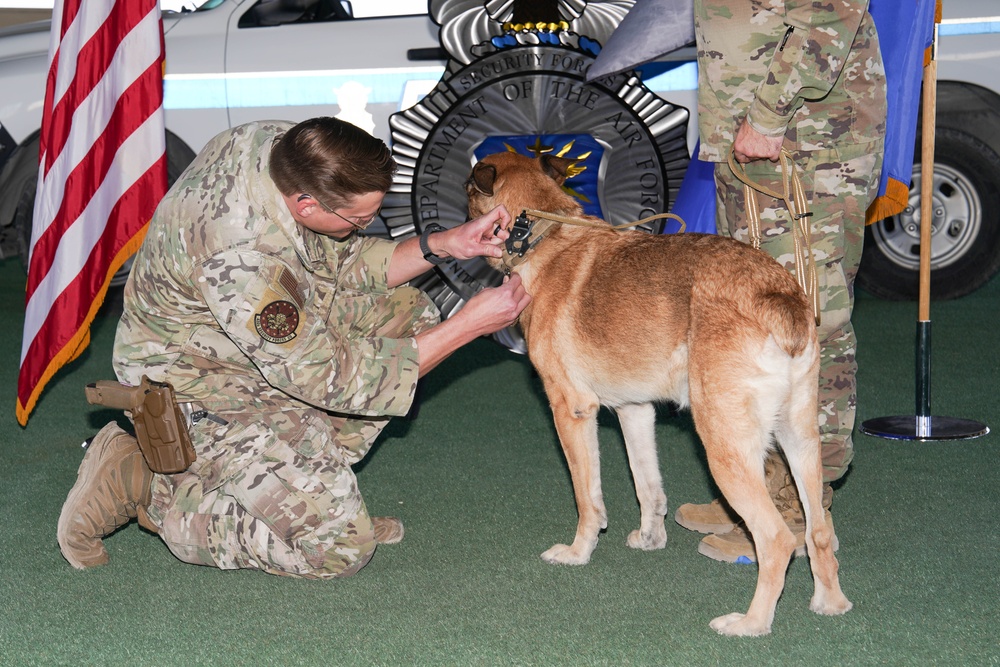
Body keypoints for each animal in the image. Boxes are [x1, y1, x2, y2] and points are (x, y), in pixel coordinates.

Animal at [468, 150, 852, 636]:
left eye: (467, 192)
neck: (544, 233)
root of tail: (776, 295)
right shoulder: (635, 410)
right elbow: (648, 486)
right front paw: (651, 538)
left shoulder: (572, 410)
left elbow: (588, 499)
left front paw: (577, 553)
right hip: (799, 440)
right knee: (817, 531)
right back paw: (830, 603)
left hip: (724, 448)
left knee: (778, 539)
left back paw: (750, 623)